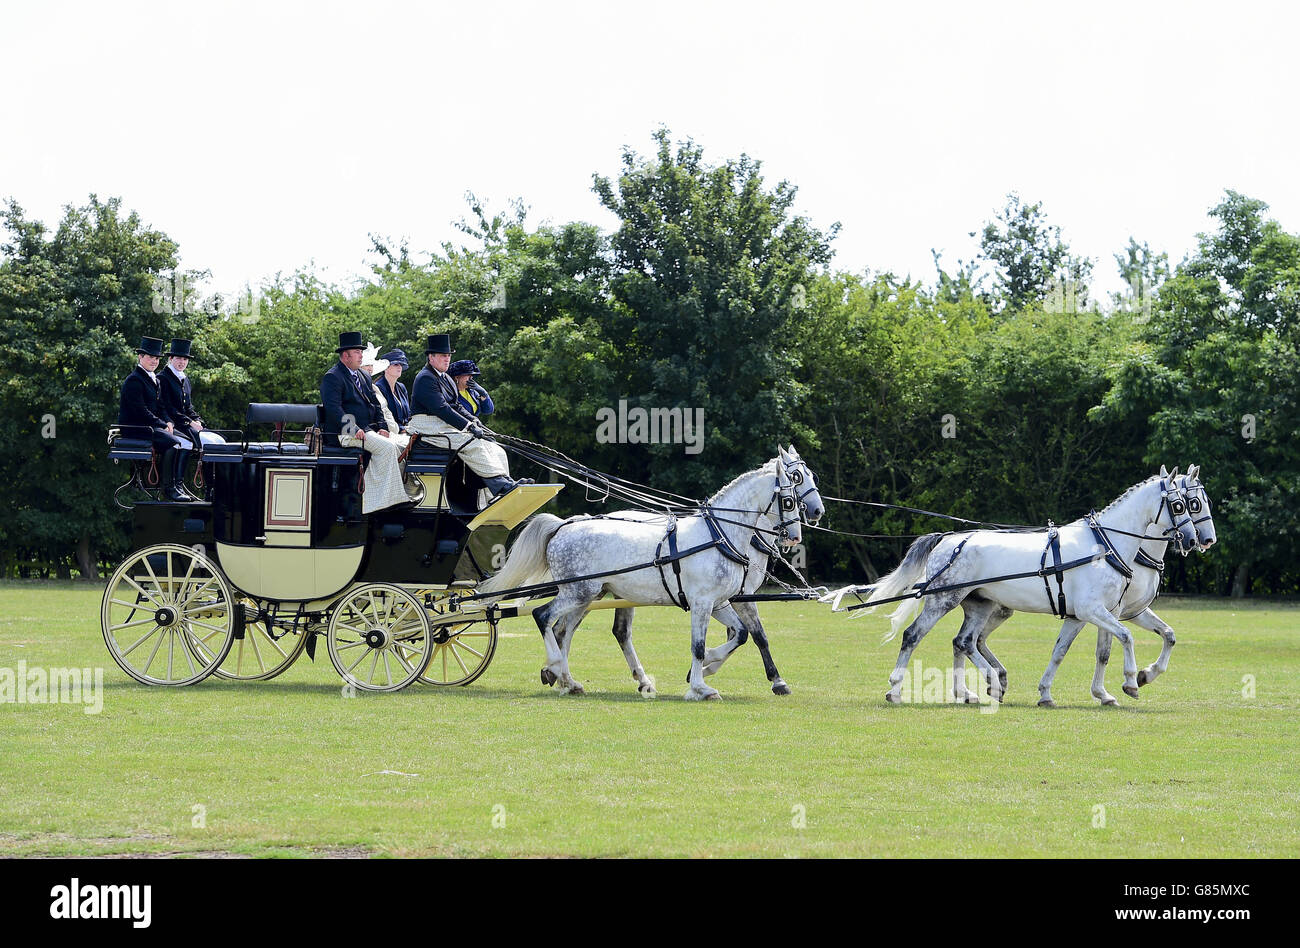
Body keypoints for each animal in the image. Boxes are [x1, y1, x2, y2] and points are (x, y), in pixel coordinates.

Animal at [475, 447, 821, 697]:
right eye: (790, 496)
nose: (796, 534)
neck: (721, 534)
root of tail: (565, 525)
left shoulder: (721, 601)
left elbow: (742, 634)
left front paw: (704, 670)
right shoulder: (704, 602)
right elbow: (703, 644)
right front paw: (701, 686)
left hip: (589, 594)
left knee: (566, 630)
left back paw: (569, 680)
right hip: (579, 592)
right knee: (544, 617)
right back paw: (558, 668)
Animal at [821, 473, 1196, 702]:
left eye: (1195, 504)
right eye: (1181, 505)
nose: (1196, 539)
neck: (1104, 545)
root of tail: (948, 539)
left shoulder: (1088, 613)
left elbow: (1069, 649)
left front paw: (1058, 693)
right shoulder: (1093, 610)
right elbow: (1126, 637)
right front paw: (1132, 680)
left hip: (979, 604)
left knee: (964, 641)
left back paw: (977, 688)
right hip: (942, 599)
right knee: (914, 635)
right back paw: (898, 689)